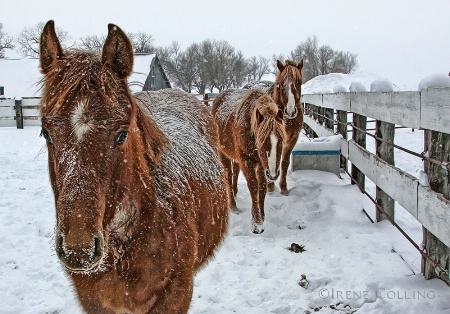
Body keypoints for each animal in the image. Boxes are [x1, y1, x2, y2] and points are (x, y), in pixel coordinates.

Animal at [212, 88, 284, 233]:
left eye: (281, 141)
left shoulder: (262, 164)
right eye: (262, 142)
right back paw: (233, 206)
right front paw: (257, 223)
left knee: (235, 172)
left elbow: (262, 187)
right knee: (228, 175)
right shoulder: (247, 161)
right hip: (223, 153)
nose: (273, 174)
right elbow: (253, 186)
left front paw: (262, 216)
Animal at [266, 60, 304, 195]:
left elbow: (284, 162)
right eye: (281, 84)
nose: (290, 111)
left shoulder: (292, 139)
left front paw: (283, 187)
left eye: (298, 82)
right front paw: (270, 186)